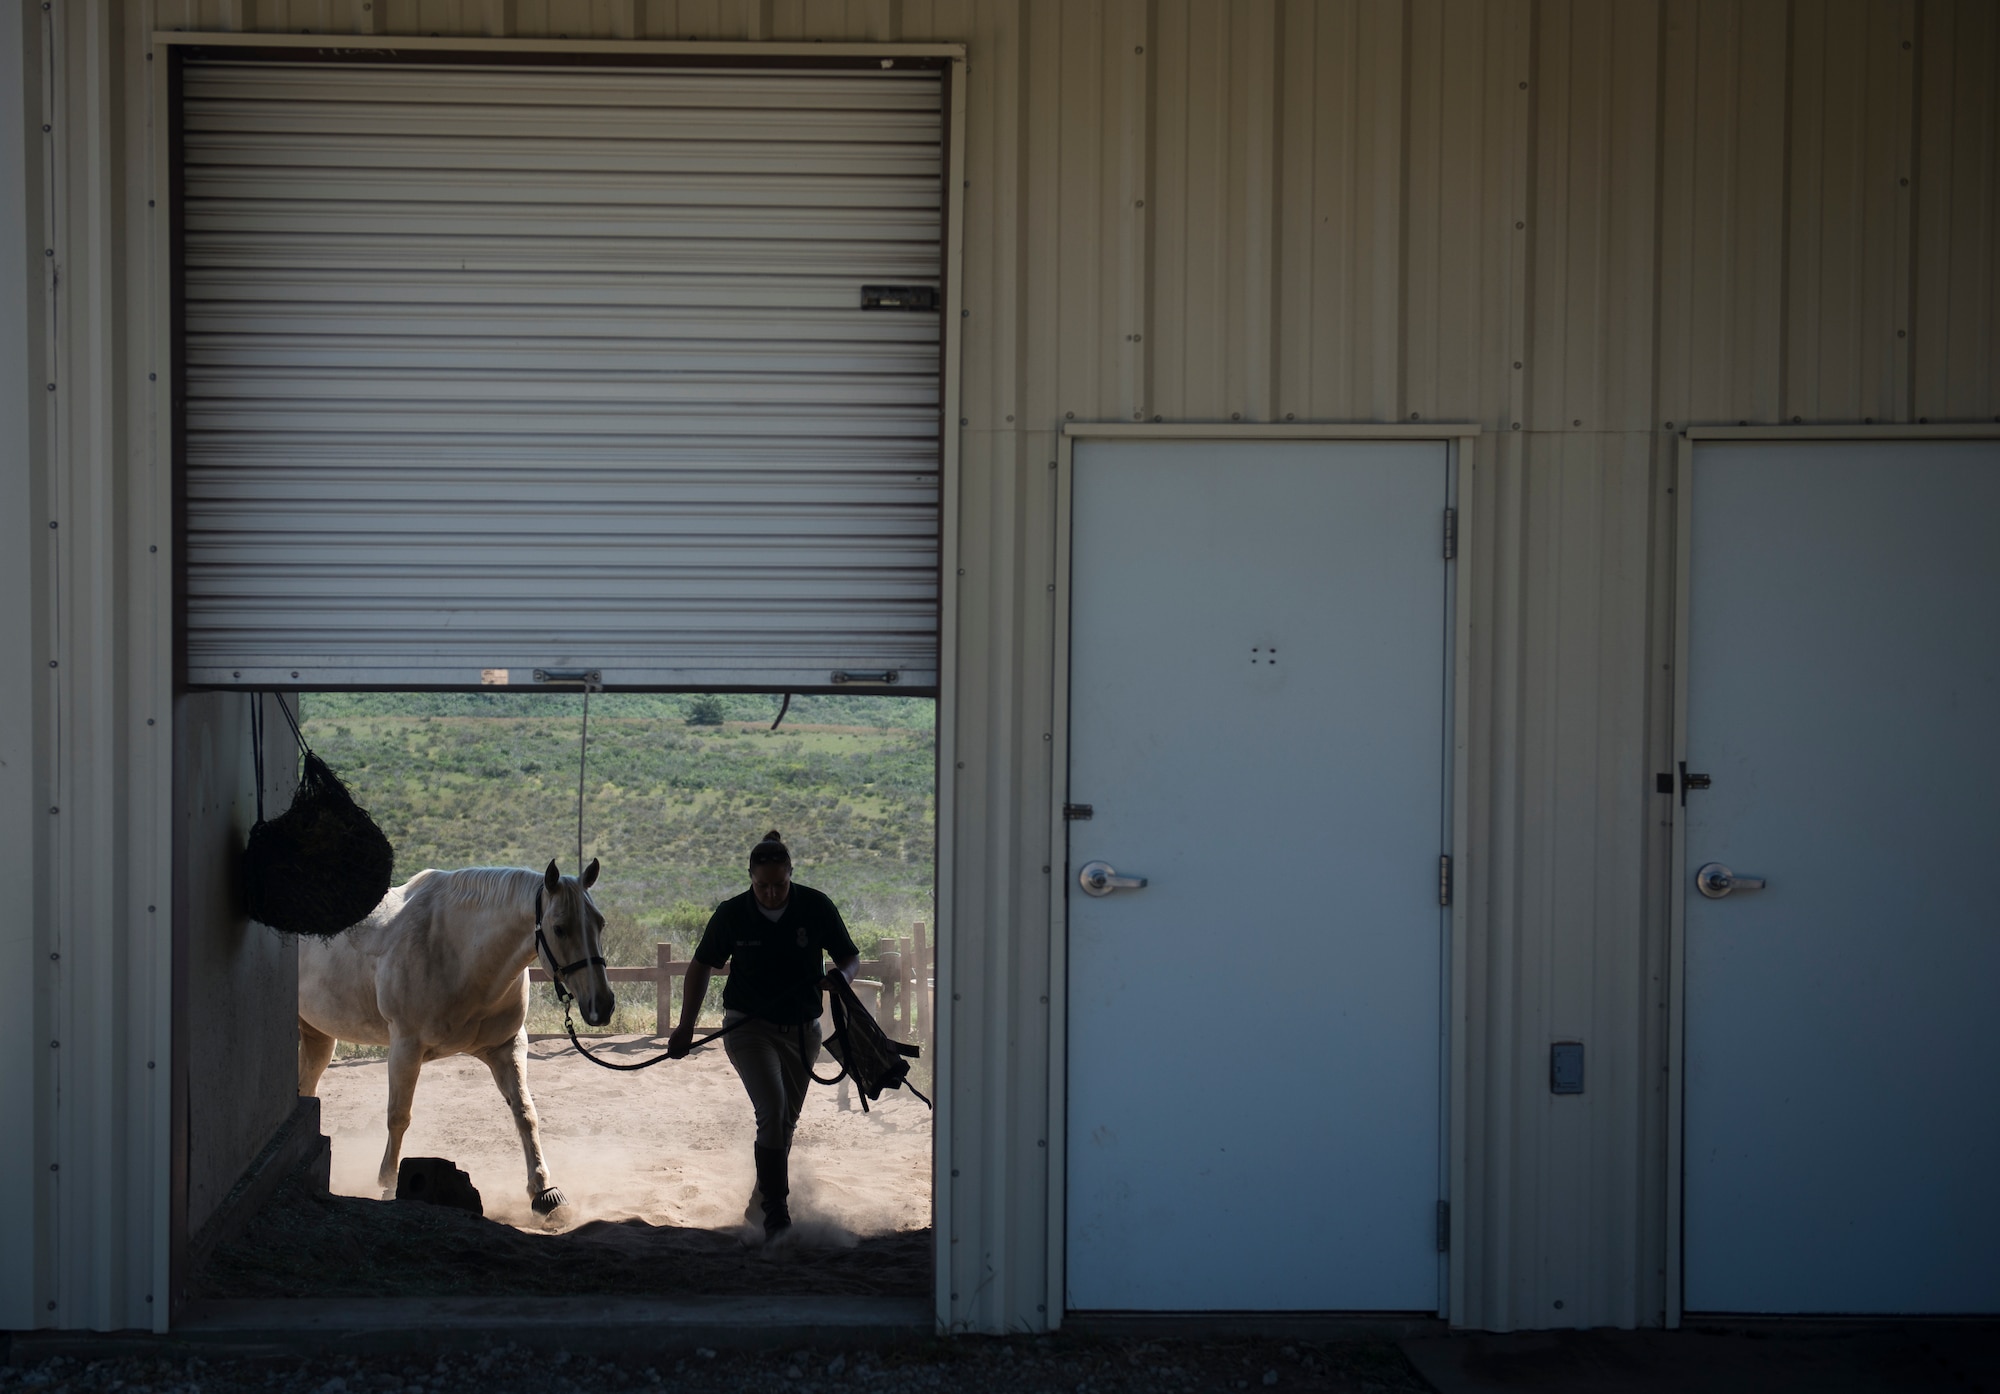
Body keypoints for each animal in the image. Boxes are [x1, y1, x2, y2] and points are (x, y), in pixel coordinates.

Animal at [292, 852, 612, 1216]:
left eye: (600, 923)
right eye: (559, 928)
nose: (602, 1005)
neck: (460, 955)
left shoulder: (507, 1047)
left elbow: (525, 1113)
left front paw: (544, 1192)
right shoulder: (405, 1048)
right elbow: (398, 1116)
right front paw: (388, 1184)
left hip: (318, 1036)